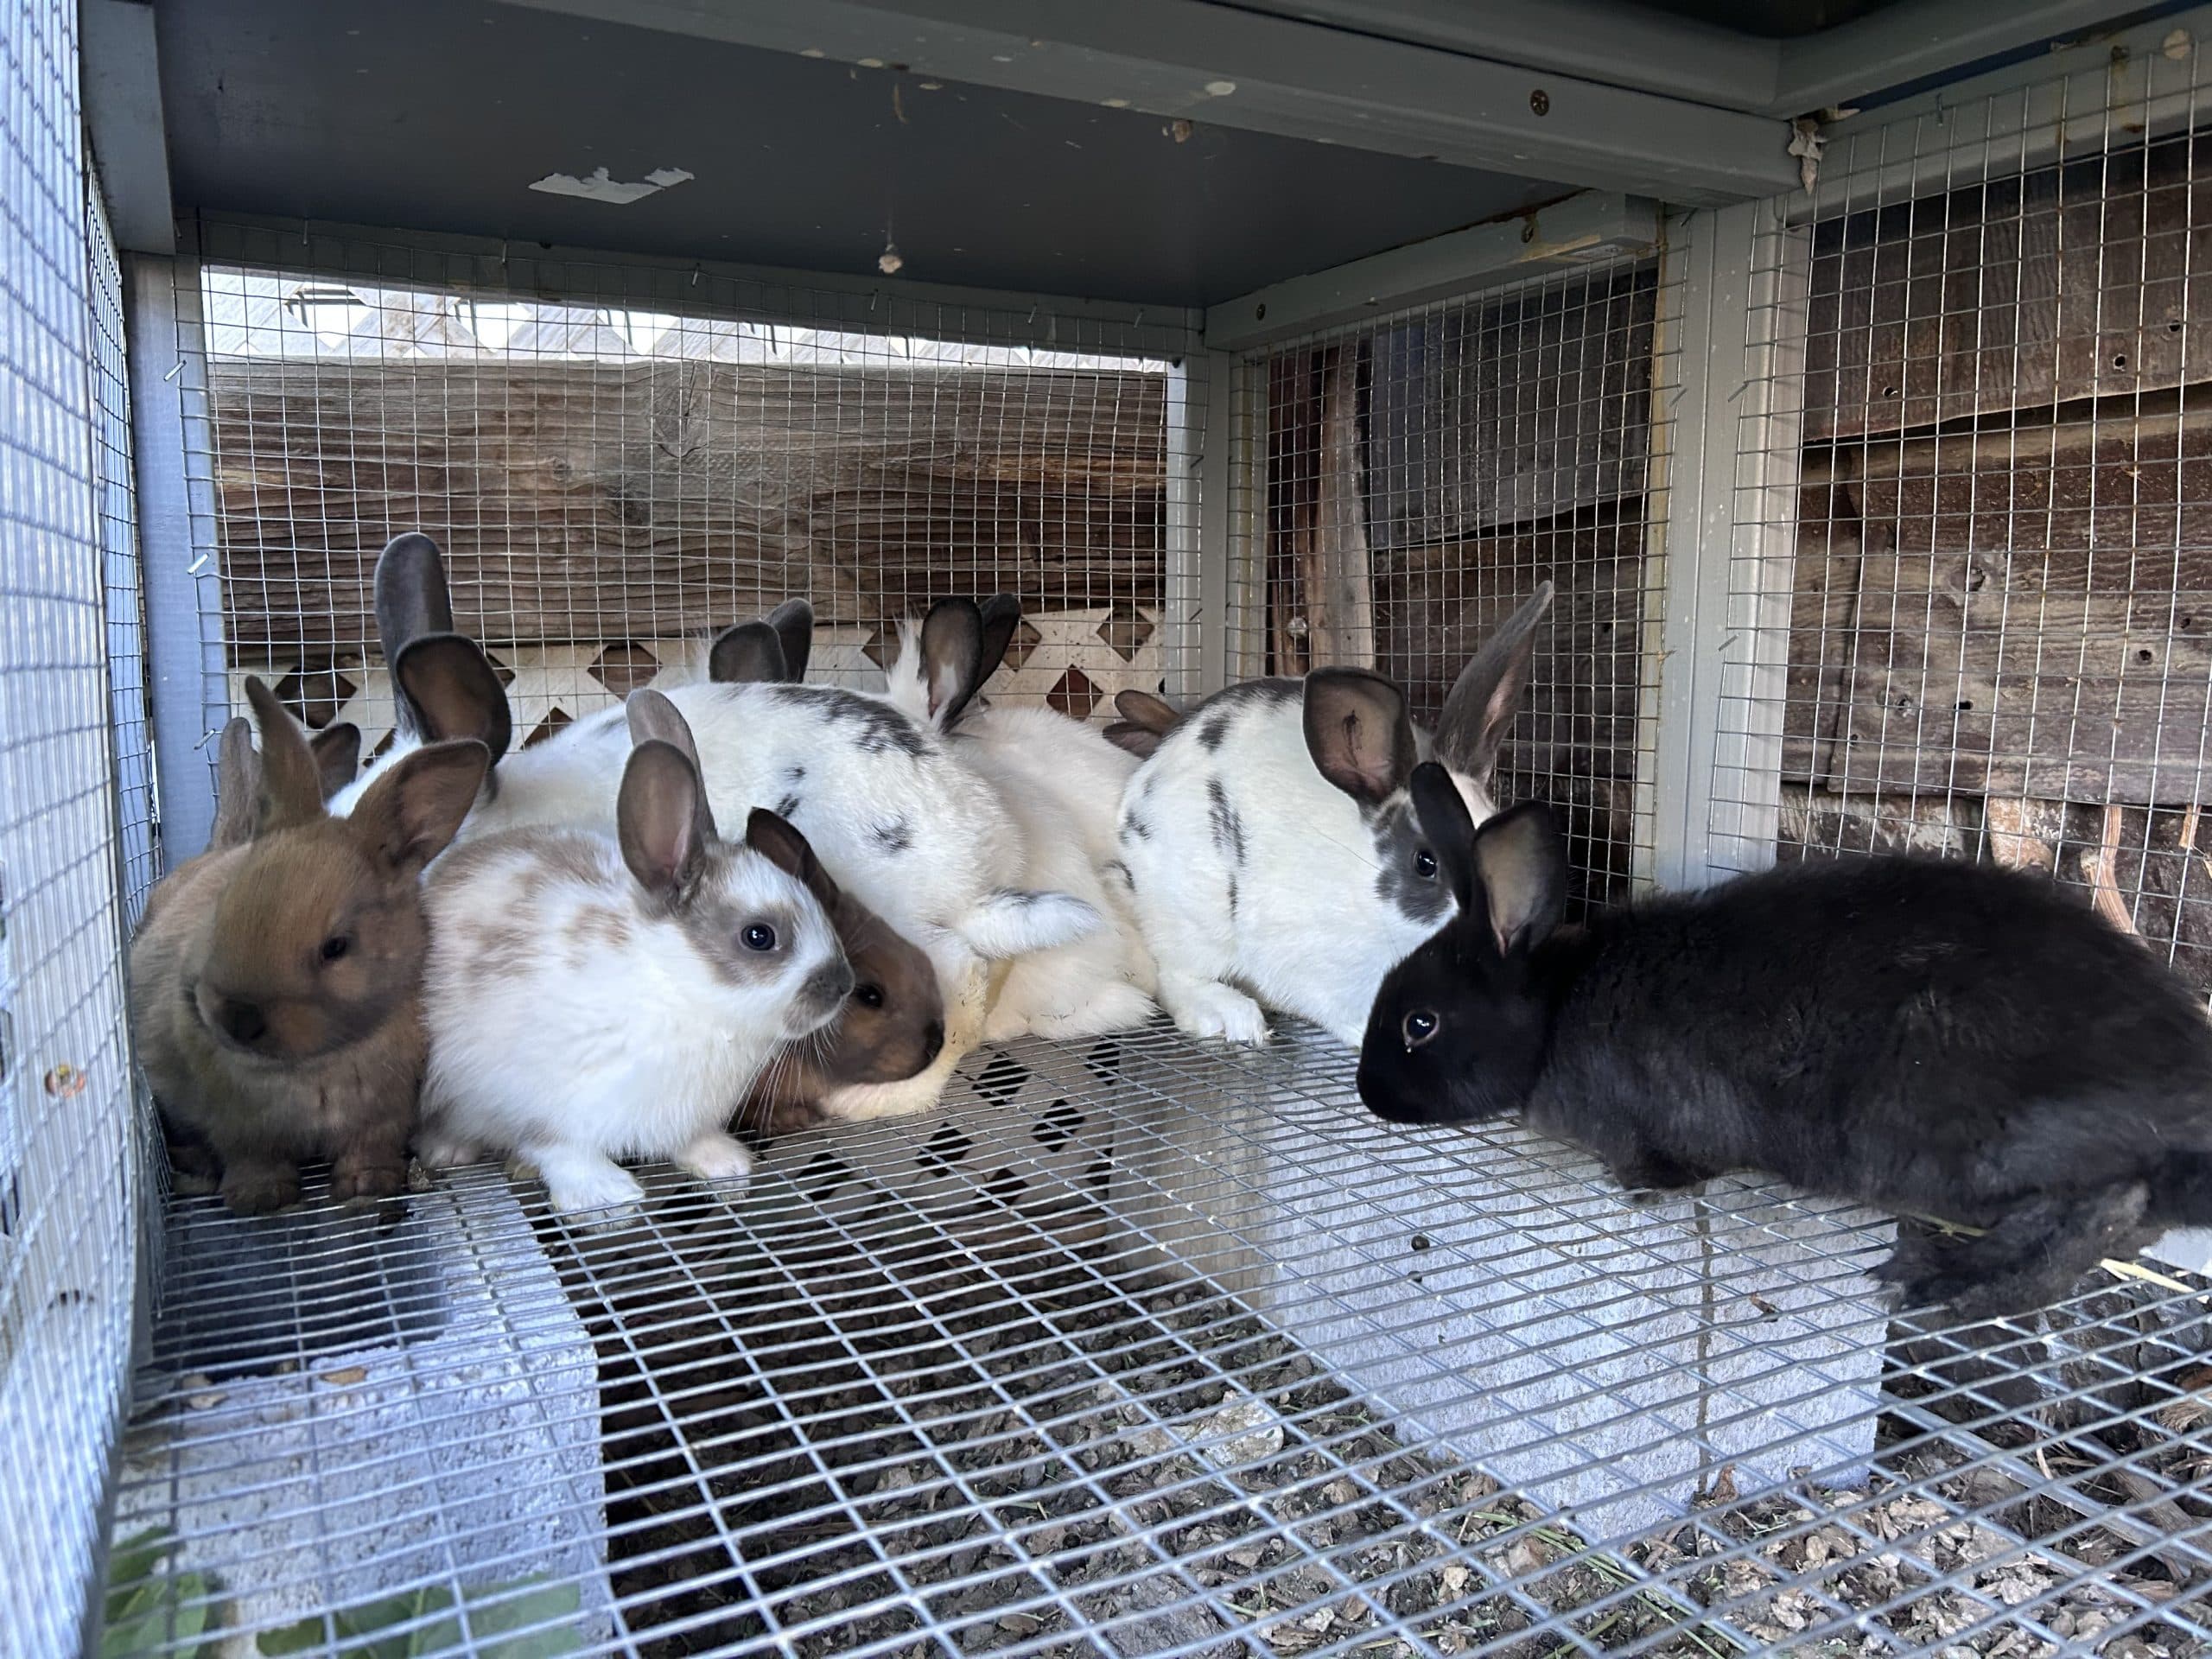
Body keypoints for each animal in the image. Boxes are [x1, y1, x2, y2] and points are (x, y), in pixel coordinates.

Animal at [130, 677, 489, 1214]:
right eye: (224, 906)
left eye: (336, 946)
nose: (238, 1018)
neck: (315, 1063)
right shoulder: (235, 1121)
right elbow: (252, 1155)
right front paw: (259, 1198)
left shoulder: (384, 1113)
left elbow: (368, 1146)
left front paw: (367, 1185)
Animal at [417, 689, 856, 1217]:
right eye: (759, 936)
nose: (843, 985)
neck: (679, 992)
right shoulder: (536, 1100)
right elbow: (558, 1148)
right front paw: (607, 1197)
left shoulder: (679, 1115)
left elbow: (688, 1140)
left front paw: (726, 1164)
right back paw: (447, 1150)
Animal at [1358, 763, 2212, 1319]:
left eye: (1420, 1023)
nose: (1371, 1096)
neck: (1555, 1010)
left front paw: (1641, 1187)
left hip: (1965, 1140)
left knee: (2109, 1204)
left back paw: (1938, 1281)